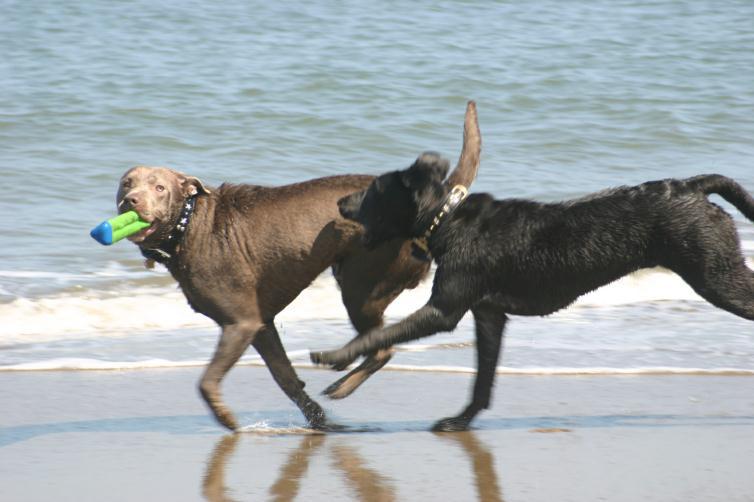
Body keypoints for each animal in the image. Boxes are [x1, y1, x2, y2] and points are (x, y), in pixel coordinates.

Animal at [117, 100, 482, 430]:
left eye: (159, 188)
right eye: (126, 183)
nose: (130, 202)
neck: (188, 225)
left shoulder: (241, 323)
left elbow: (207, 382)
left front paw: (227, 419)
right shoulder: (262, 325)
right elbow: (286, 378)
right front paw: (317, 418)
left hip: (362, 285)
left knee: (383, 348)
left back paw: (340, 385)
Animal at [308, 154, 748, 432]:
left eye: (374, 191)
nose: (341, 202)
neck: (447, 220)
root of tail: (691, 187)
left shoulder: (443, 310)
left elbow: (380, 334)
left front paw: (334, 357)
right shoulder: (488, 315)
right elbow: (482, 380)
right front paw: (461, 421)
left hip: (718, 275)